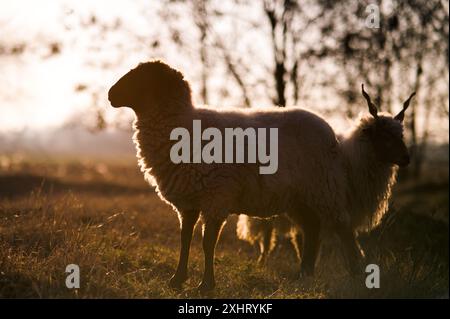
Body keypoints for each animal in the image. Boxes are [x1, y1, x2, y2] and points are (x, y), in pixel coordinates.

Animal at [108, 58, 414, 294]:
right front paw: (177, 280)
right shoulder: (189, 201)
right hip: (300, 199)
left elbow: (207, 243)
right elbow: (185, 239)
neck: (182, 125)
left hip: (324, 189)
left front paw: (205, 285)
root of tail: (336, 141)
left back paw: (354, 274)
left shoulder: (217, 197)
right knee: (312, 230)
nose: (110, 95)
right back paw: (304, 275)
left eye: (141, 77)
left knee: (343, 230)